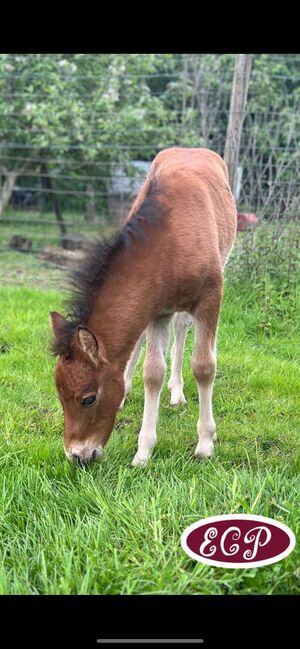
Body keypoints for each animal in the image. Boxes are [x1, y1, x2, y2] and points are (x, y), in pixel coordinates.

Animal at [50, 148, 237, 460]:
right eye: (59, 394)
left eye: (88, 399)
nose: (77, 456)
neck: (171, 243)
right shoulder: (155, 309)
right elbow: (152, 372)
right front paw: (143, 452)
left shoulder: (210, 298)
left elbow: (204, 366)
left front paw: (205, 444)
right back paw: (128, 389)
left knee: (183, 327)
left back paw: (177, 392)